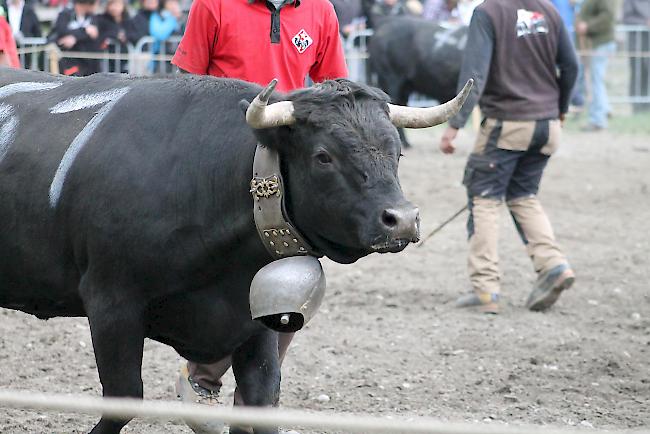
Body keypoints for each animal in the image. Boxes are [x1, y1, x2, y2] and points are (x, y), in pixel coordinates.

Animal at [0, 68, 470, 434]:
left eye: (397, 151)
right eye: (324, 156)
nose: (402, 219)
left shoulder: (257, 317)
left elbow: (261, 401)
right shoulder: (111, 302)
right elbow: (121, 402)